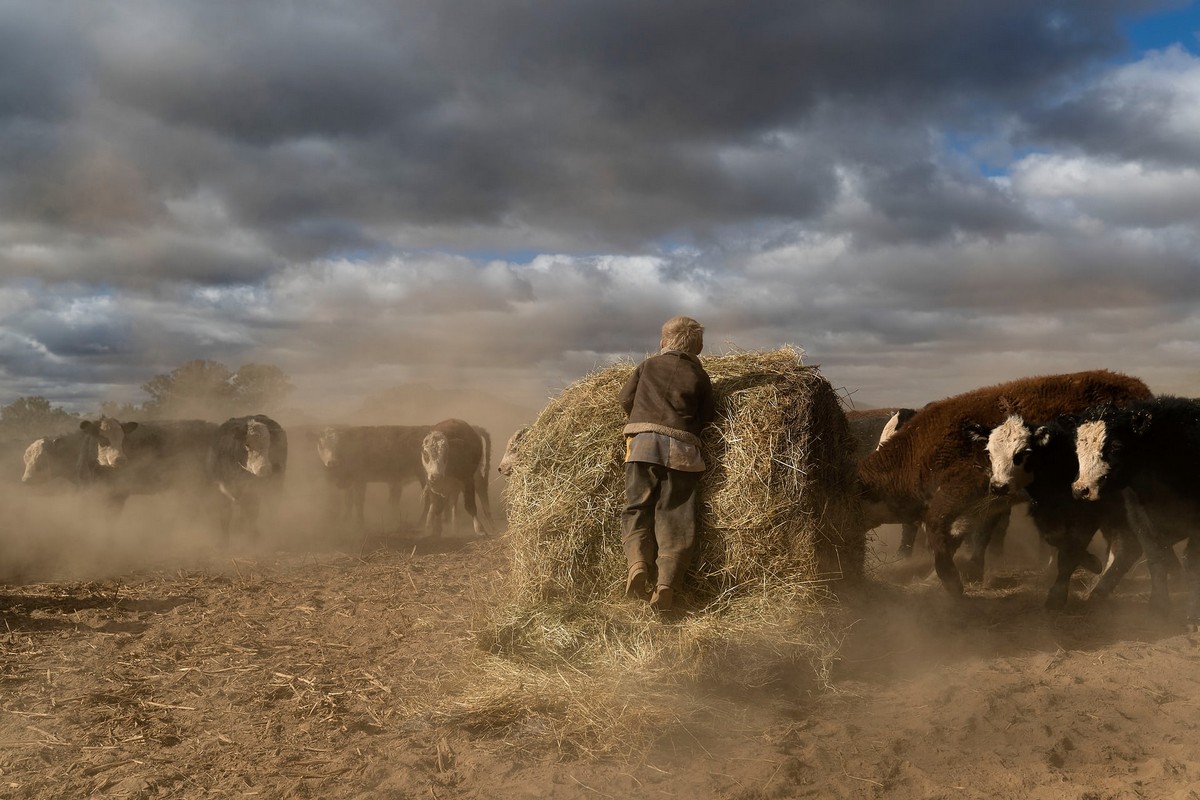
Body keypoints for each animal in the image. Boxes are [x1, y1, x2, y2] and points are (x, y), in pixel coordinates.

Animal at [854, 371, 1152, 597]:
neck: (918, 452)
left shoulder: (959, 491)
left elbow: (940, 530)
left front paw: (952, 582)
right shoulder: (981, 505)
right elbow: (959, 537)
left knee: (1128, 545)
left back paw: (1097, 590)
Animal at [1070, 395, 1200, 623]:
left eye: (1116, 445)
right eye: (1078, 446)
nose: (1081, 489)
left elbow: (1191, 562)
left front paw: (1193, 616)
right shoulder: (1141, 519)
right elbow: (1156, 559)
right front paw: (1158, 607)